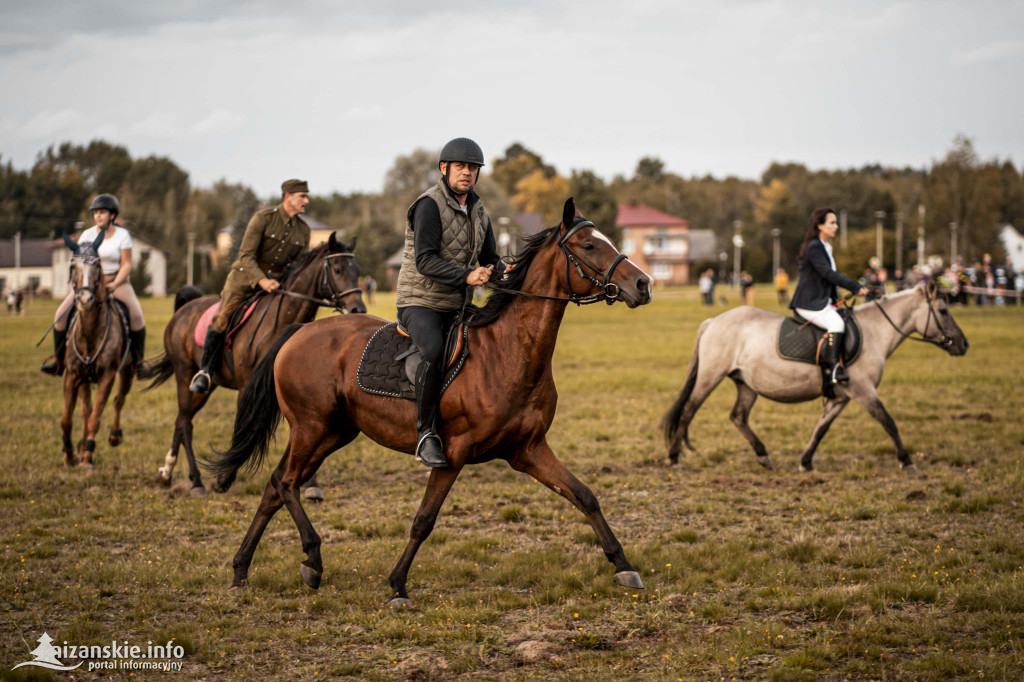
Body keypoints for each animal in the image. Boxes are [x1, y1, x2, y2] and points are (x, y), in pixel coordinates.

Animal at [58, 231, 134, 464]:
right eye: (73, 266)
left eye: (98, 265)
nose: (85, 299)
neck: (91, 331)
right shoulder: (72, 375)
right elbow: (68, 419)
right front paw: (70, 454)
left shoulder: (108, 375)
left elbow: (97, 417)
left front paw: (88, 453)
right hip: (84, 379)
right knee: (86, 410)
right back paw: (81, 444)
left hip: (127, 371)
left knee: (119, 400)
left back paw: (113, 436)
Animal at [146, 231, 364, 491]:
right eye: (338, 269)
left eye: (357, 270)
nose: (358, 308)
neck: (280, 319)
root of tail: (183, 310)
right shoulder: (248, 386)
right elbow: (245, 425)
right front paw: (224, 478)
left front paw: (312, 485)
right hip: (185, 375)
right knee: (185, 422)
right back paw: (195, 480)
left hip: (207, 386)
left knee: (181, 420)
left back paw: (166, 472)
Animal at [206, 199, 651, 602]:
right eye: (589, 246)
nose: (643, 284)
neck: (511, 351)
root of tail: (299, 331)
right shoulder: (452, 454)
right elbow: (424, 519)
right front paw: (398, 585)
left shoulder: (528, 449)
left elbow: (585, 496)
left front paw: (624, 565)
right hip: (310, 429)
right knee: (285, 482)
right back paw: (312, 559)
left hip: (333, 433)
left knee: (276, 486)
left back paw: (242, 569)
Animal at [663, 278, 966, 471]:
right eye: (943, 311)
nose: (964, 344)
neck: (874, 333)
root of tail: (713, 321)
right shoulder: (863, 390)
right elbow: (888, 421)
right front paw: (907, 461)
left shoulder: (841, 397)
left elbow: (821, 428)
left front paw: (806, 462)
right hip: (710, 376)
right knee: (688, 410)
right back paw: (675, 459)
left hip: (746, 384)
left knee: (738, 416)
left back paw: (763, 456)